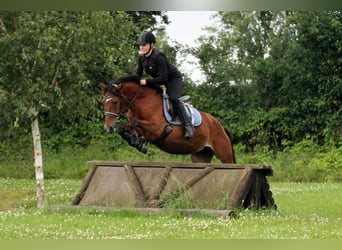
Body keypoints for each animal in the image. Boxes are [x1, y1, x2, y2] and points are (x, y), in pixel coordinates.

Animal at [100, 75, 236, 163]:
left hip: (225, 154)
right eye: (103, 102)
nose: (108, 128)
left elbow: (134, 123)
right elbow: (122, 128)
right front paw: (137, 143)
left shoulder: (157, 128)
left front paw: (136, 141)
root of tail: (221, 126)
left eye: (115, 102)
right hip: (201, 155)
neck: (141, 103)